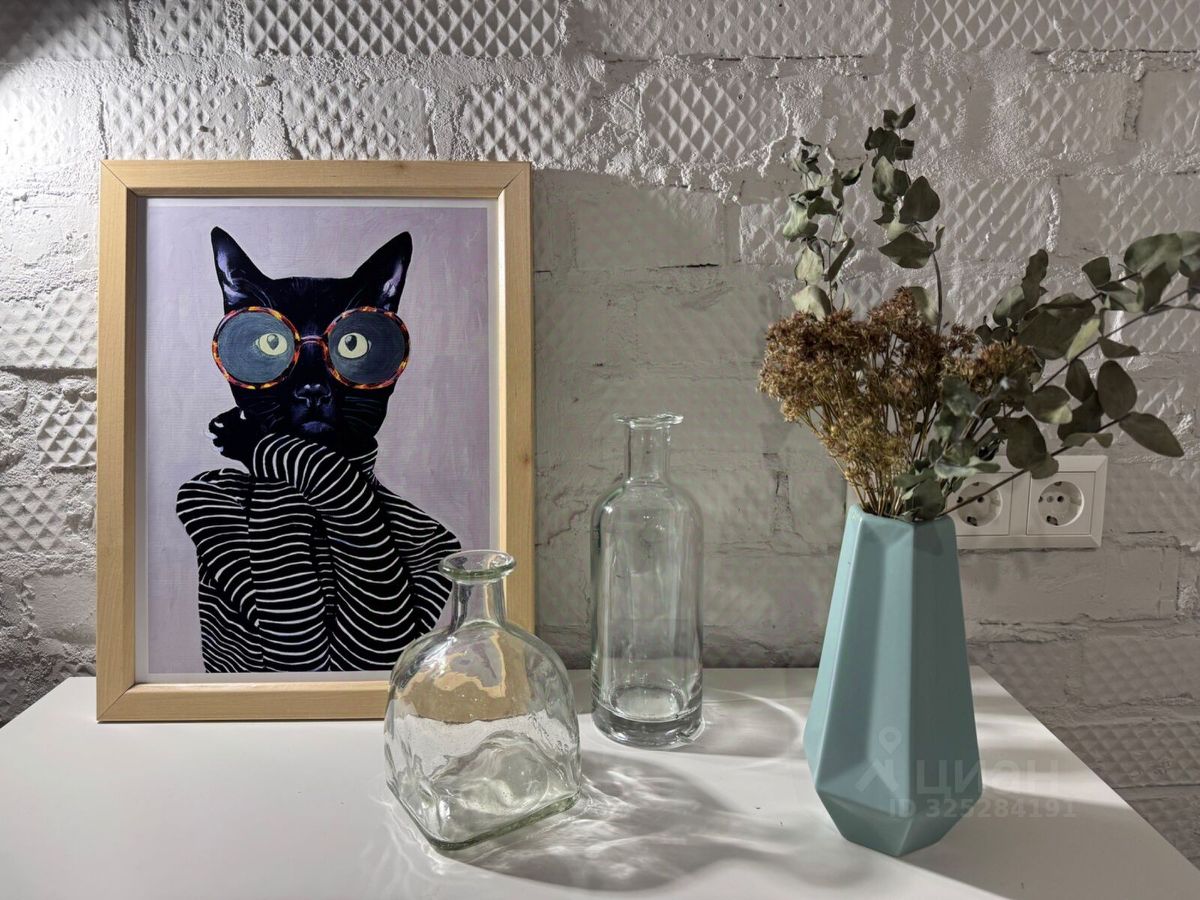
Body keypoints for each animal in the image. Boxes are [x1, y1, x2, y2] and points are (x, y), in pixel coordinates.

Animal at [176, 227, 461, 673]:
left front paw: (242, 436)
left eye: (353, 343)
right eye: (271, 342)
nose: (312, 389)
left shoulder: (431, 556)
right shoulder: (199, 494)